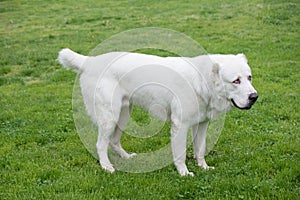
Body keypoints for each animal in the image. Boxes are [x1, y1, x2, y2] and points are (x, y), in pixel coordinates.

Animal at [58, 48, 258, 177]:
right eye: (236, 81)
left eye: (249, 78)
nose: (254, 97)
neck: (202, 80)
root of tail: (89, 61)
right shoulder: (180, 125)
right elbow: (180, 154)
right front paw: (184, 173)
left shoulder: (201, 125)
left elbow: (200, 149)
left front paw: (203, 167)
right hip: (110, 117)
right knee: (101, 144)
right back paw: (107, 167)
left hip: (123, 114)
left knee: (113, 142)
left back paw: (126, 157)